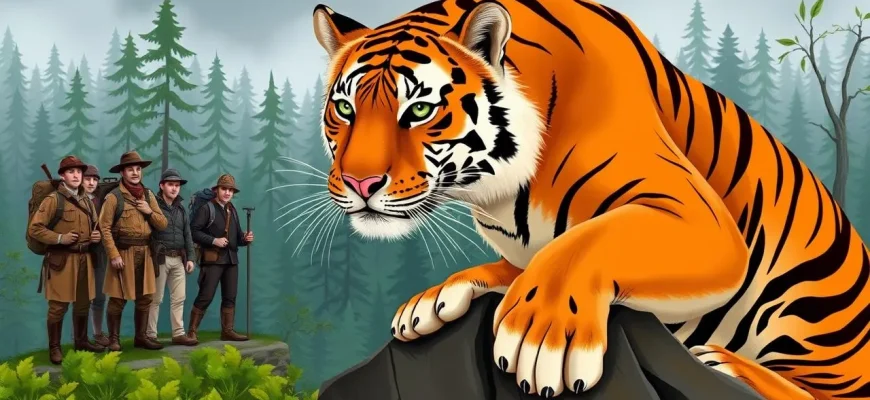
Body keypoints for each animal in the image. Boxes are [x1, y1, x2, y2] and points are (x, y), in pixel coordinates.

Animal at [310, 0, 870, 398]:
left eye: (420, 110)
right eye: (345, 108)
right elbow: (527, 263)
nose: (360, 183)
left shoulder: (696, 214)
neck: (499, 192)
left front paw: (539, 338)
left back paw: (725, 362)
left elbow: (584, 244)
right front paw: (430, 301)